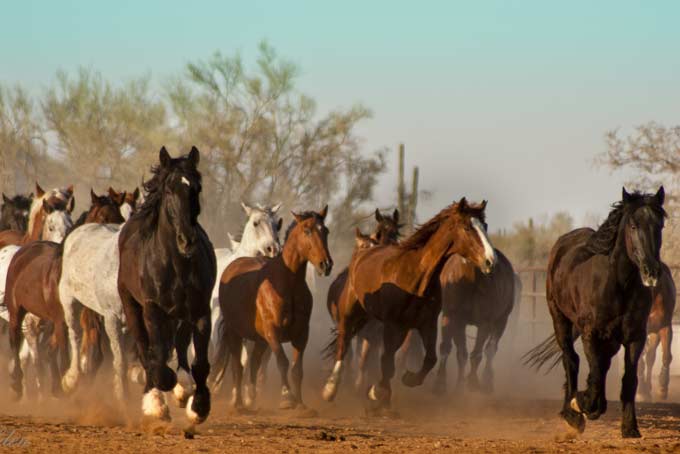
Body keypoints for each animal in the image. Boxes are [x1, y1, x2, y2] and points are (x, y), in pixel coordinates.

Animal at [4, 189, 124, 399]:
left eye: (121, 218)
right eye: (103, 217)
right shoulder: (60, 319)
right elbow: (63, 354)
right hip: (16, 312)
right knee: (15, 341)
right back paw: (18, 385)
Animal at [116, 146, 216, 428]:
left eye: (196, 188)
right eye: (169, 189)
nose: (187, 240)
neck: (176, 265)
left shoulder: (200, 311)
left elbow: (200, 363)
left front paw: (199, 406)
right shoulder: (153, 309)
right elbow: (156, 360)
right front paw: (159, 399)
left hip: (180, 315)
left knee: (180, 346)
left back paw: (182, 389)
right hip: (132, 306)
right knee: (145, 349)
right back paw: (156, 401)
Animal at [218, 207, 332, 411]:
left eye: (325, 231)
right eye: (307, 231)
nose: (325, 265)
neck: (287, 283)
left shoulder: (302, 335)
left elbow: (297, 369)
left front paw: (301, 404)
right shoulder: (273, 332)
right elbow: (283, 362)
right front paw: (287, 398)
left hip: (259, 339)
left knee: (254, 362)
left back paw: (251, 398)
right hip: (235, 333)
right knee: (238, 366)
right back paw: (238, 403)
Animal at [433, 248, 517, 395]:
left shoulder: (485, 323)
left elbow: (477, 354)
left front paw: (473, 383)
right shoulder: (452, 318)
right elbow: (454, 351)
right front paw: (445, 385)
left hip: (501, 321)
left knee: (490, 350)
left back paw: (487, 382)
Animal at [523, 187, 666, 438]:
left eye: (660, 225)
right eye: (633, 225)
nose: (651, 271)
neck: (617, 285)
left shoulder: (635, 338)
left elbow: (629, 380)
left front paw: (630, 428)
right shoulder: (591, 334)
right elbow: (596, 373)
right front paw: (583, 404)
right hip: (560, 319)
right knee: (571, 360)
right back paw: (572, 414)